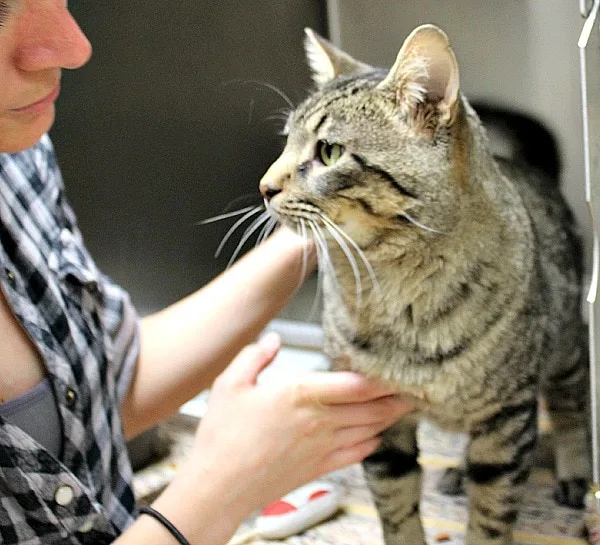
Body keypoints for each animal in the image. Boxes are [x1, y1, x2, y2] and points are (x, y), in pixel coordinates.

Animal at [258, 25, 592, 544]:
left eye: (329, 151)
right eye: (285, 142)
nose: (264, 187)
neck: (396, 289)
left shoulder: (506, 417)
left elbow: (491, 515)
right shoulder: (382, 425)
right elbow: (396, 508)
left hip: (566, 347)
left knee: (571, 404)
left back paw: (575, 472)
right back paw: (456, 470)